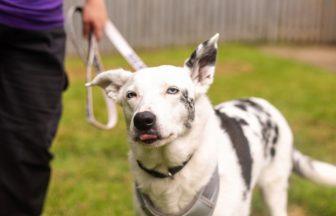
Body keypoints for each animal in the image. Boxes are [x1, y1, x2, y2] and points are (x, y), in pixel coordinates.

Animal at [86, 34, 336, 215]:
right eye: (131, 95)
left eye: (172, 90)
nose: (143, 120)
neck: (169, 171)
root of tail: (263, 104)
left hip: (274, 187)